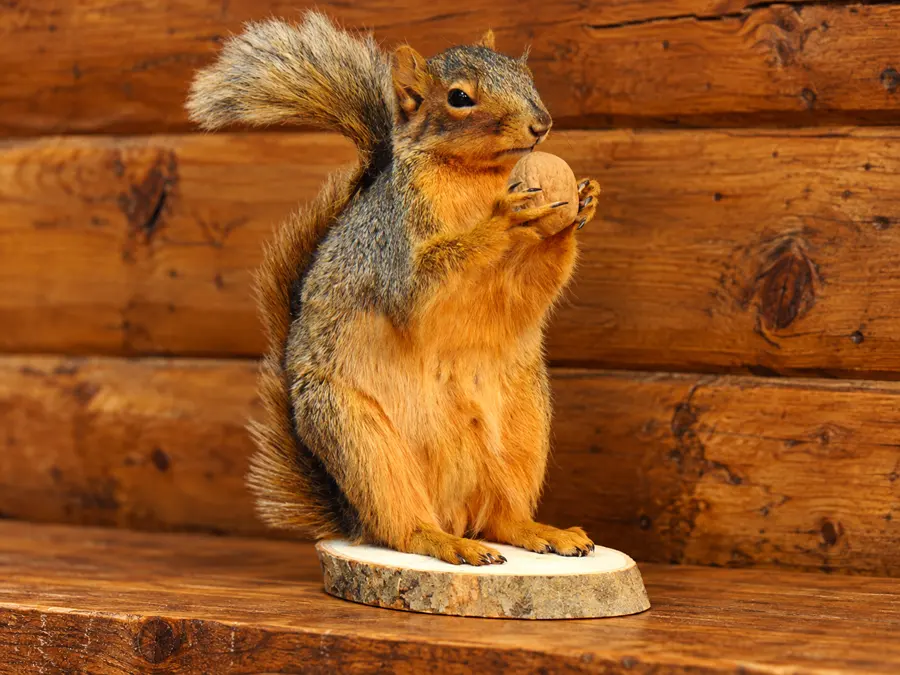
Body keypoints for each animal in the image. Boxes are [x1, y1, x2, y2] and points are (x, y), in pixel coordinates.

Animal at [187, 11, 601, 565]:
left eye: (524, 73)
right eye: (459, 97)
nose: (542, 123)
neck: (475, 177)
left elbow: (530, 288)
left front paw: (581, 203)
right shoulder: (396, 246)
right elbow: (422, 292)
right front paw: (503, 220)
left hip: (524, 425)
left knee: (500, 518)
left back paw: (540, 531)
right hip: (362, 443)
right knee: (404, 528)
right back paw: (447, 542)